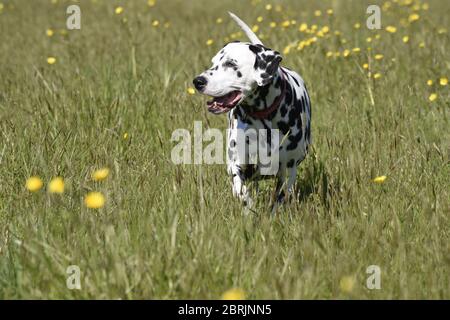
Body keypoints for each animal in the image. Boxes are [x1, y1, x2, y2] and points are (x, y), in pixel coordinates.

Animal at [192, 12, 312, 212]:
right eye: (214, 62)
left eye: (231, 63)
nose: (198, 81)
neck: (265, 119)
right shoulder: (237, 166)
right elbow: (242, 192)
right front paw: (248, 210)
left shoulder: (287, 171)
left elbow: (279, 198)